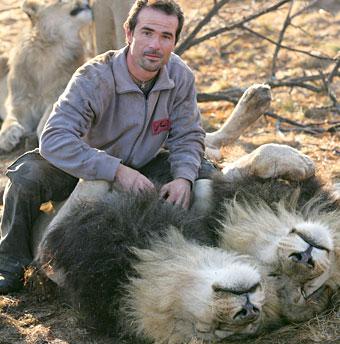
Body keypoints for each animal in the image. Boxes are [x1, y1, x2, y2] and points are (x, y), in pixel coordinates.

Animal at [0, 0, 91, 152]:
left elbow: (48, 115)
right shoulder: (19, 101)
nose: (88, 3)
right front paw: (7, 135)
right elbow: (11, 117)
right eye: (60, 1)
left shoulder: (58, 95)